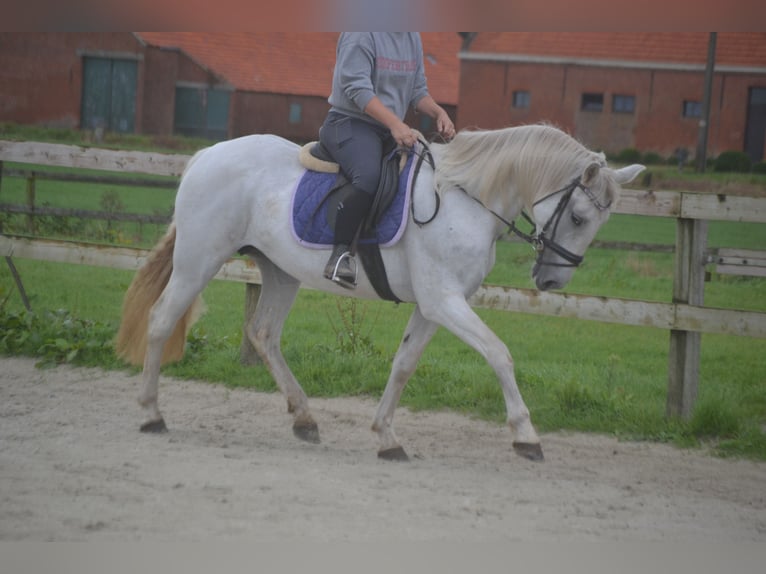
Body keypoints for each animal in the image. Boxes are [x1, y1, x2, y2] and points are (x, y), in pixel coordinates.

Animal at [117, 124, 644, 462]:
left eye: (595, 224)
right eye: (577, 216)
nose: (553, 281)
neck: (466, 200)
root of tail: (207, 156)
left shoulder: (435, 306)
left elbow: (404, 364)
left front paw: (387, 437)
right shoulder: (444, 301)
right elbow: (499, 353)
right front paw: (526, 436)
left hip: (280, 271)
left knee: (263, 333)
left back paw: (305, 419)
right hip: (199, 259)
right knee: (163, 320)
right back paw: (150, 414)